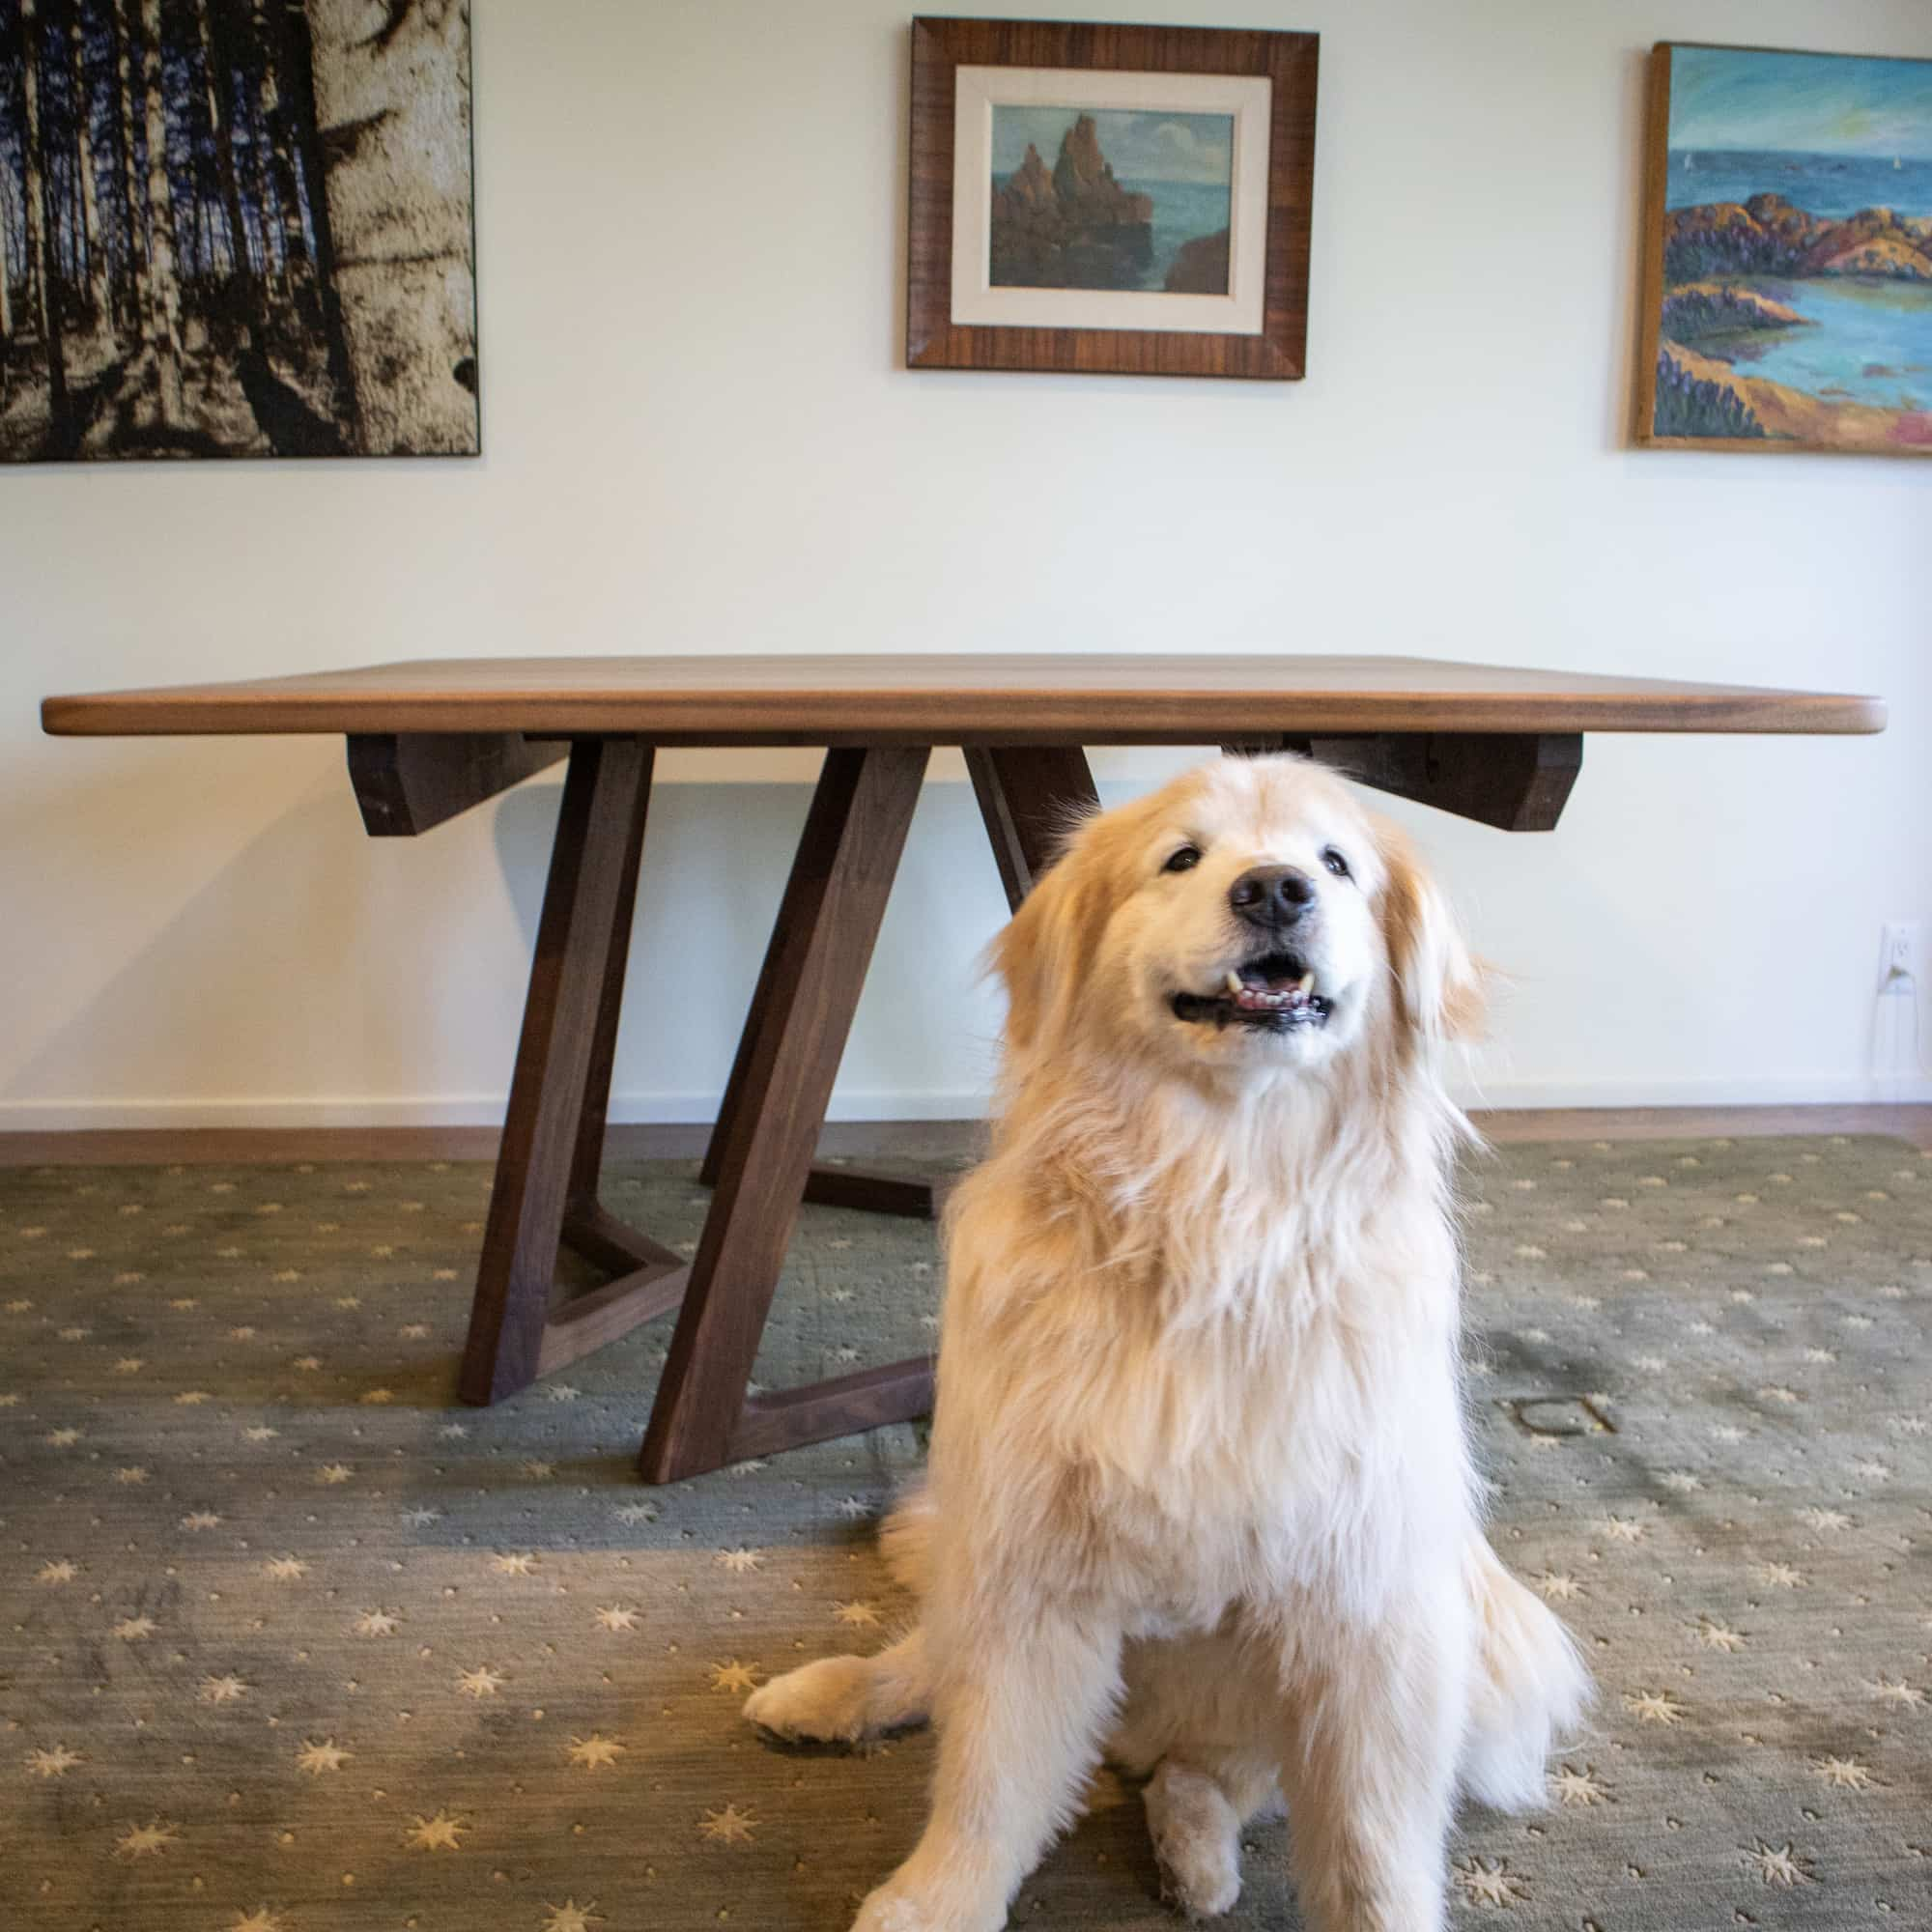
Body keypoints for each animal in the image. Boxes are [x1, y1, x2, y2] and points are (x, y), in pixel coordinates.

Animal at [738, 753, 1584, 1932]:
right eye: (1183, 857)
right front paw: (938, 1897)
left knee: (1214, 1771)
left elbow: (1368, 1844)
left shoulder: (1366, 1609)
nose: (1275, 889)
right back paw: (836, 1691)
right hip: (979, 1549)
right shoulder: (1030, 1558)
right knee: (938, 1662)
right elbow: (987, 1781)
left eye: (1336, 863)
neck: (1214, 1203)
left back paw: (1193, 1851)